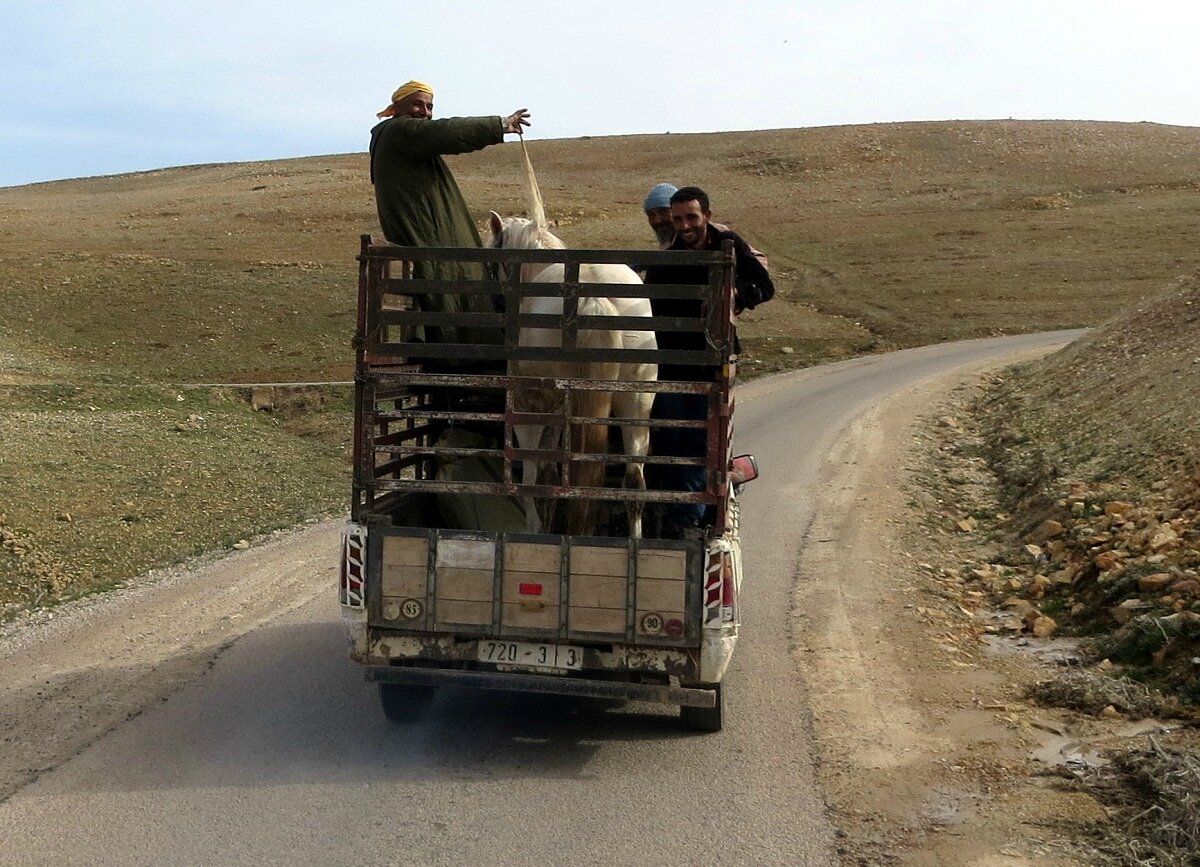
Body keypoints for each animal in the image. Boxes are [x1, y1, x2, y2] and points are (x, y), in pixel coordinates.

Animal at [484, 208, 657, 533]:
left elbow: (532, 478)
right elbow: (550, 476)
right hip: (636, 403)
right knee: (634, 482)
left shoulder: (531, 409)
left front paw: (536, 527)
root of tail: (592, 297)